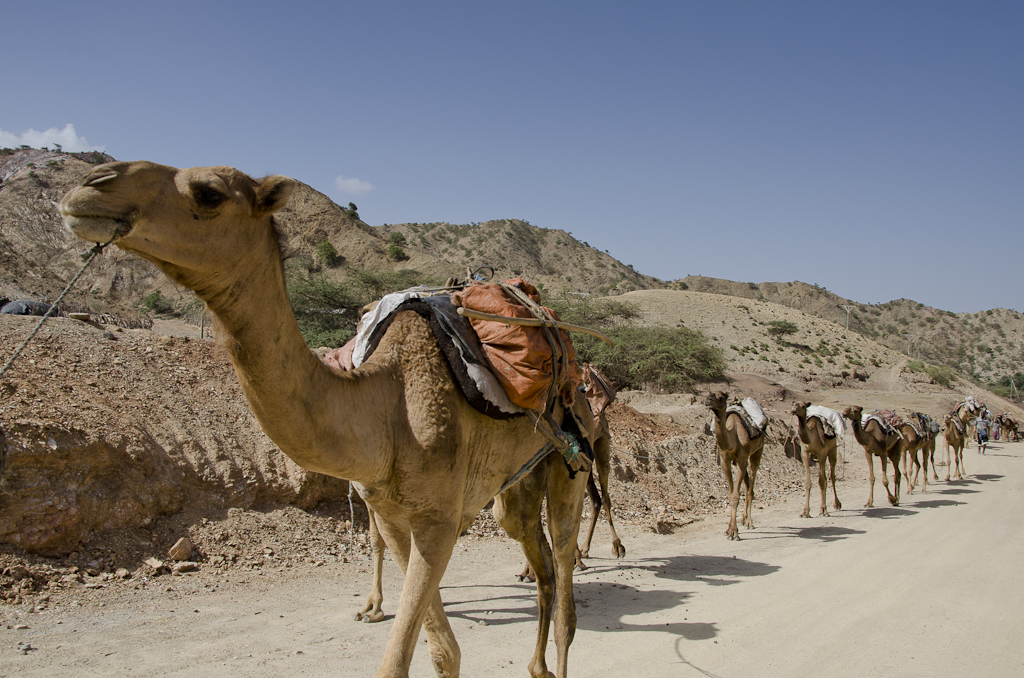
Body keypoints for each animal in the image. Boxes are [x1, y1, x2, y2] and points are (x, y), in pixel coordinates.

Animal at [59, 163, 593, 678]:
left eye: (209, 192)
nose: (91, 186)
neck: (390, 406)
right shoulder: (394, 516)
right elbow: (443, 650)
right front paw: (379, 612)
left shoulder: (439, 519)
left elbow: (403, 658)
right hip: (515, 483)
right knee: (539, 558)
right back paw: (537, 666)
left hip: (574, 454)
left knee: (565, 577)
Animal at [700, 393, 765, 540]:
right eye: (709, 394)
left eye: (720, 397)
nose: (707, 400)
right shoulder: (726, 461)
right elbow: (730, 494)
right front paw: (728, 529)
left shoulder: (742, 459)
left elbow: (735, 496)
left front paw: (734, 532)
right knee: (747, 483)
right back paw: (743, 518)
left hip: (757, 451)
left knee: (751, 487)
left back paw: (749, 522)